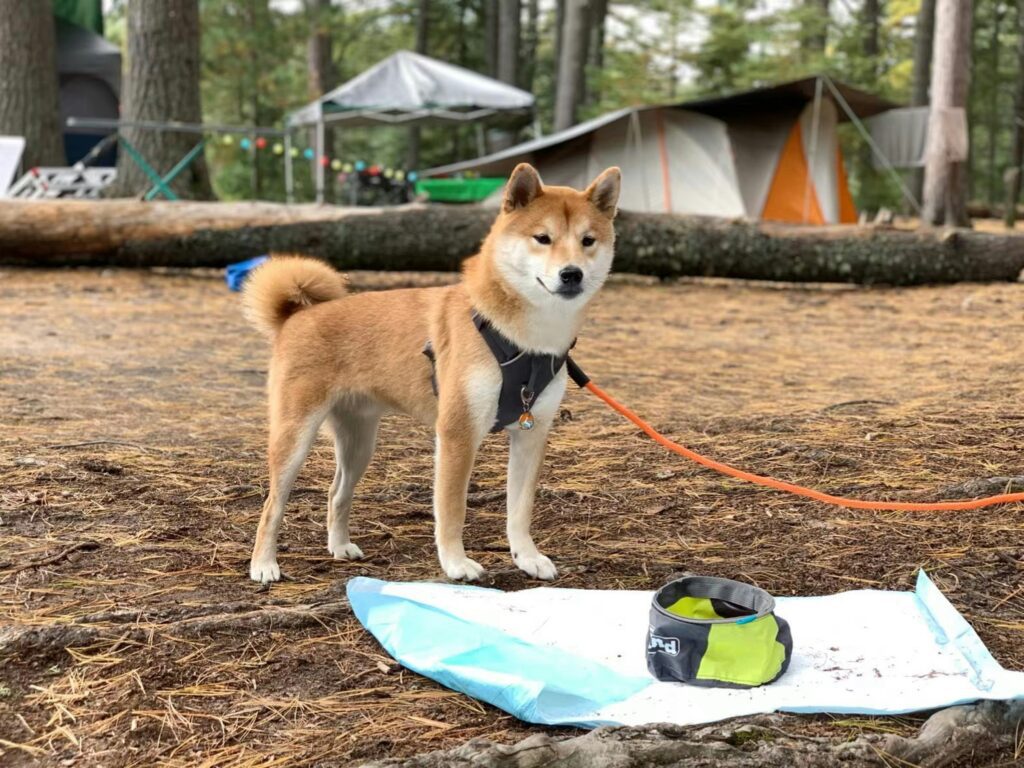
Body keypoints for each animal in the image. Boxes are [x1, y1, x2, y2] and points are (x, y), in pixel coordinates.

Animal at [243, 162, 618, 581]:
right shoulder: (457, 433)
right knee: (272, 505)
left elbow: (519, 511)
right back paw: (264, 564)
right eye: (543, 238)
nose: (572, 274)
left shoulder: (531, 432)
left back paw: (339, 546)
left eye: (588, 241)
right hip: (294, 438)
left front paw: (527, 557)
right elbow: (452, 510)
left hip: (359, 442)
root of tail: (296, 316)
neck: (523, 339)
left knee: (336, 492)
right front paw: (456, 563)